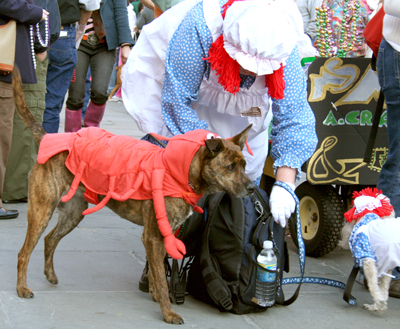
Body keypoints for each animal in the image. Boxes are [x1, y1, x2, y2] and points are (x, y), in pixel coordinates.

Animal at [12, 68, 256, 322]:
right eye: (230, 167)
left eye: (244, 165)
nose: (252, 188)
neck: (180, 172)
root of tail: (48, 137)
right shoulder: (154, 236)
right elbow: (161, 278)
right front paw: (168, 312)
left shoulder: (160, 237)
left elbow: (157, 270)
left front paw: (156, 295)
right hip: (42, 210)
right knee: (23, 253)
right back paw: (22, 288)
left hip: (73, 213)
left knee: (50, 239)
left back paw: (49, 275)